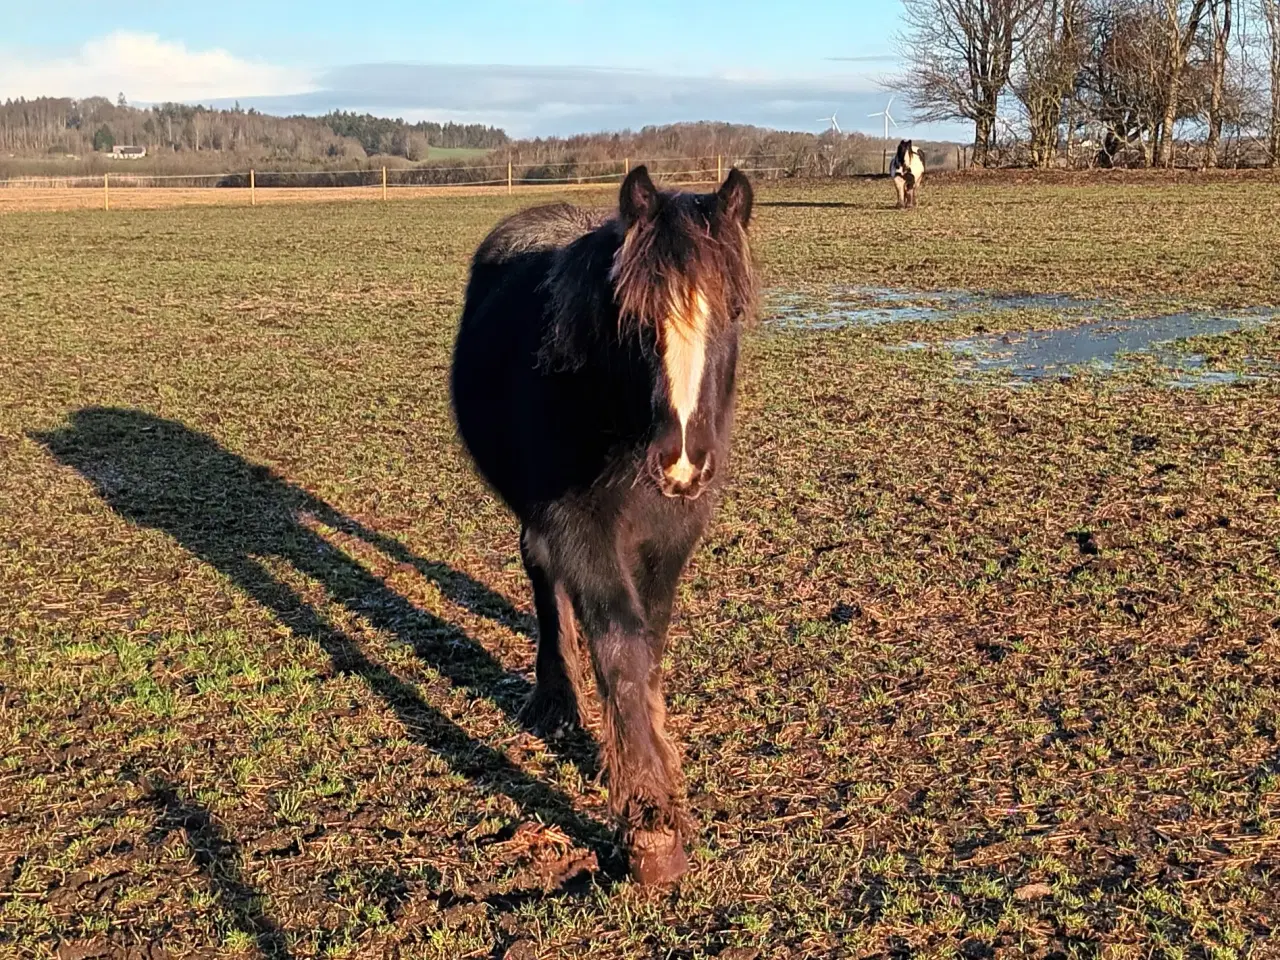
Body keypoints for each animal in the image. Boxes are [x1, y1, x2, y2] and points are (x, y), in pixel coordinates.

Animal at [450, 165, 752, 885]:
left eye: (732, 313)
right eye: (633, 320)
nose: (682, 461)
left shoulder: (672, 534)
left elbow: (651, 636)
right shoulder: (577, 525)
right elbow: (619, 643)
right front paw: (651, 828)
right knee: (542, 574)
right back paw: (558, 699)